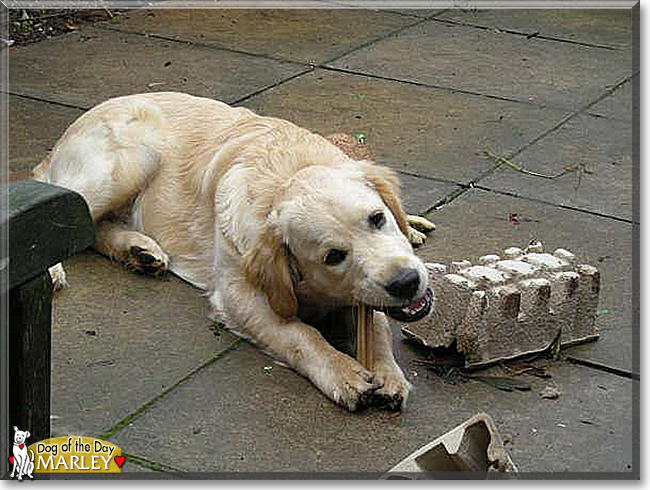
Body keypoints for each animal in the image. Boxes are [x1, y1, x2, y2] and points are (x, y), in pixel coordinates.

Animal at [34, 91, 430, 410]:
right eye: (333, 256)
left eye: (377, 218)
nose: (406, 282)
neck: (285, 171)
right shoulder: (239, 294)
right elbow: (299, 335)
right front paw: (343, 373)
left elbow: (377, 327)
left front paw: (389, 374)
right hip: (129, 163)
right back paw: (53, 271)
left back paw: (140, 250)